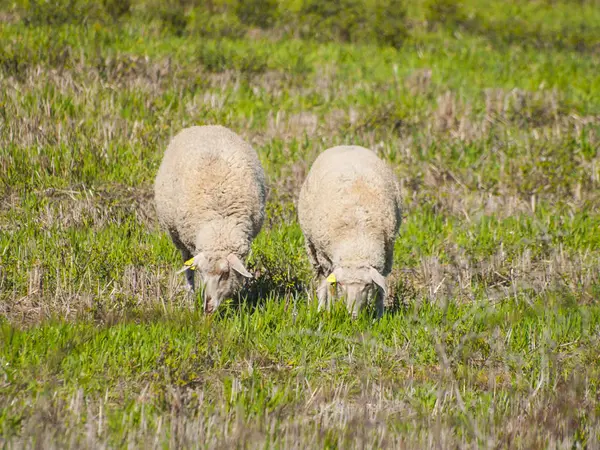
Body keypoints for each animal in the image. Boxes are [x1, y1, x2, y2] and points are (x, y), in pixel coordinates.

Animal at [154, 125, 266, 312]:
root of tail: (202, 126)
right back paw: (190, 294)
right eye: (202, 273)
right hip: (178, 237)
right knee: (186, 265)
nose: (208, 307)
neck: (220, 221)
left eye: (225, 273)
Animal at [296, 146, 400, 318]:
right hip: (313, 249)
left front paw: (379, 316)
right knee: (322, 281)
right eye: (342, 284)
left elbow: (380, 291)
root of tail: (345, 145)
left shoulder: (386, 256)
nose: (353, 315)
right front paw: (330, 310)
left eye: (367, 285)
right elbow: (330, 287)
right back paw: (321, 308)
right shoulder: (326, 257)